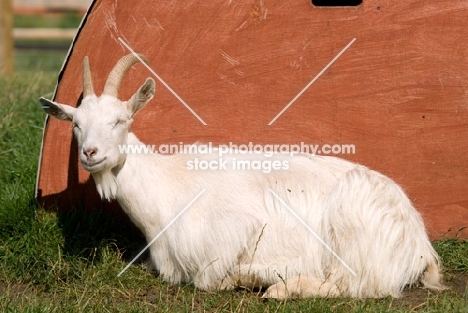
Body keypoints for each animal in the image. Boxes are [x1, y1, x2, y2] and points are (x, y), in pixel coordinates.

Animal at [40, 54, 446, 298]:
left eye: (120, 120)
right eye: (75, 124)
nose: (91, 154)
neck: (166, 187)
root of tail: (420, 244)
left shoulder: (233, 229)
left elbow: (207, 280)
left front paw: (247, 275)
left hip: (353, 232)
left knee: (355, 284)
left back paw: (278, 287)